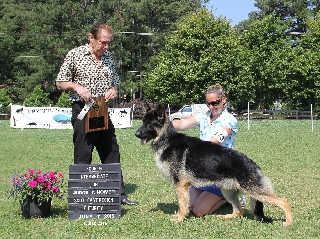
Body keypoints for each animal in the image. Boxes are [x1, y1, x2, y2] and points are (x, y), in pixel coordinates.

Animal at [135, 105, 292, 226]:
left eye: (150, 124)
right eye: (143, 121)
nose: (136, 134)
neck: (166, 140)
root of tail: (254, 165)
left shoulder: (180, 185)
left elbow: (182, 205)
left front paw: (179, 219)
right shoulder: (180, 186)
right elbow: (183, 204)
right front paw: (180, 216)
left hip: (255, 192)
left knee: (283, 201)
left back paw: (288, 222)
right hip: (228, 191)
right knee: (239, 211)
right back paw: (225, 217)